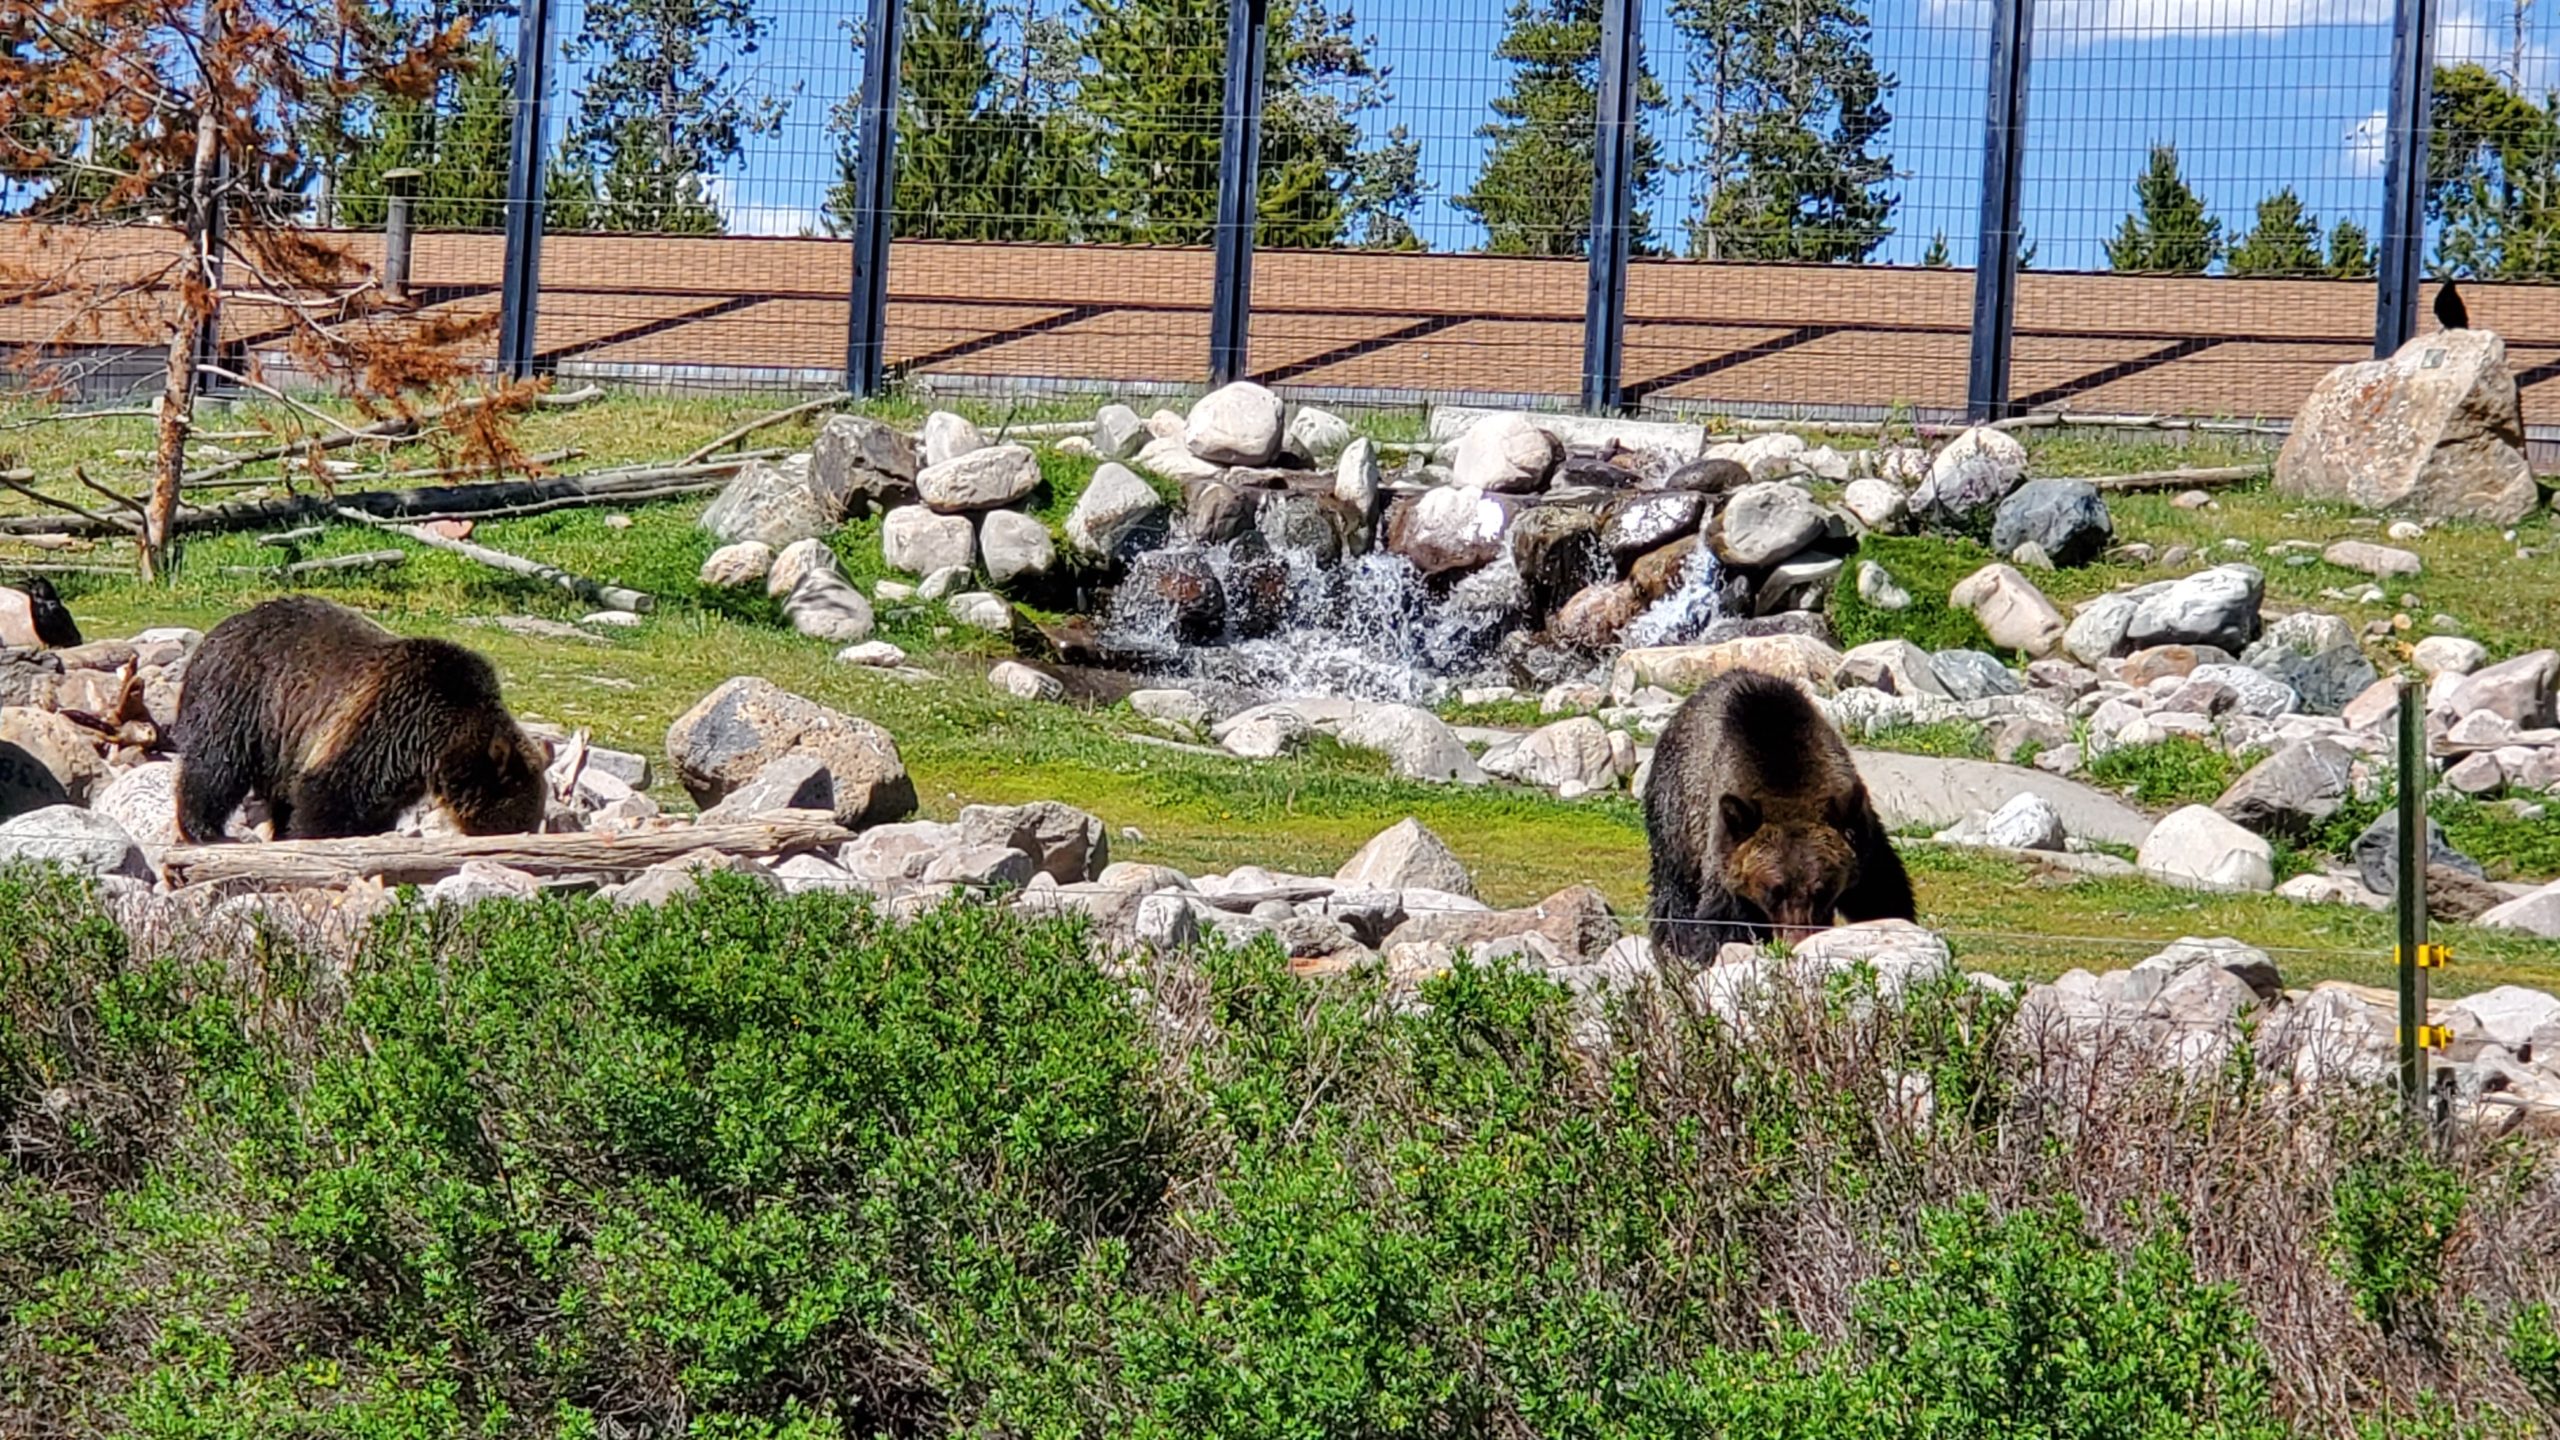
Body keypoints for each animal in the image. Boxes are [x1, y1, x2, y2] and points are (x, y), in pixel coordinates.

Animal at [174, 594, 550, 840]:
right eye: (519, 819)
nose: (527, 832)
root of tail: (216, 632)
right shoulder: (383, 723)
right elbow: (330, 795)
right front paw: (315, 835)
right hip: (243, 696)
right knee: (215, 765)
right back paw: (203, 829)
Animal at [1648, 666, 1914, 958]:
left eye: (1821, 889)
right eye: (1773, 889)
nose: (1796, 940)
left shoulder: (1862, 836)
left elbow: (1882, 894)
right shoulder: (1723, 851)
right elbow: (1724, 919)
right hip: (1675, 812)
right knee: (1675, 887)